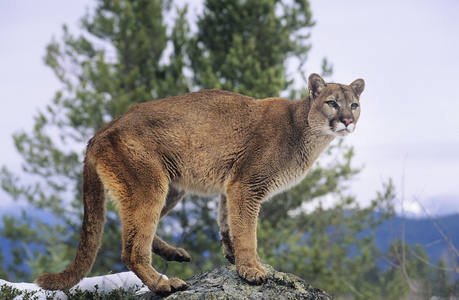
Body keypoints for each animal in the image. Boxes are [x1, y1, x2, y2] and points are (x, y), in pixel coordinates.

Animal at [36, 73, 366, 296]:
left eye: (354, 104)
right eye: (332, 103)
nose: (348, 120)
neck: (307, 131)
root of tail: (101, 131)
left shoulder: (231, 185)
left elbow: (228, 222)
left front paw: (233, 258)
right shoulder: (247, 184)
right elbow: (247, 230)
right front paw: (252, 270)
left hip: (170, 188)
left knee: (129, 229)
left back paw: (174, 254)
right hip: (151, 185)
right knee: (131, 249)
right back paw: (164, 284)